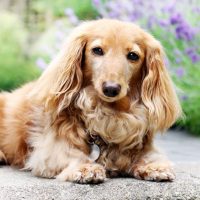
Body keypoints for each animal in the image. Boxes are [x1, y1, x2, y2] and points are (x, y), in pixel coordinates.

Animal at [0, 18, 181, 183]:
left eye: (133, 55)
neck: (109, 113)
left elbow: (148, 155)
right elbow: (70, 154)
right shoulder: (51, 151)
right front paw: (85, 168)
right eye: (97, 50)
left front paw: (154, 166)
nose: (111, 88)